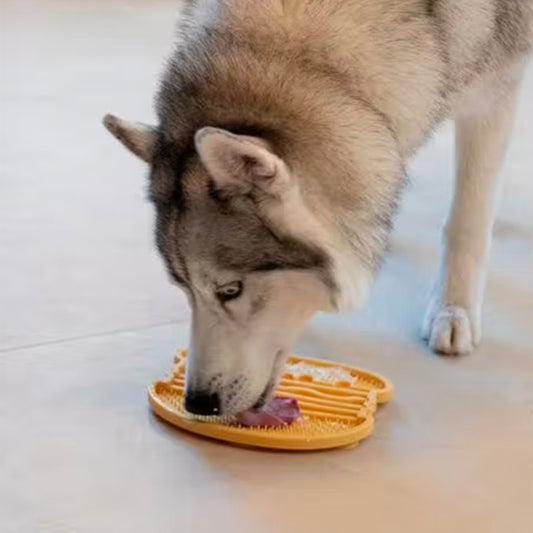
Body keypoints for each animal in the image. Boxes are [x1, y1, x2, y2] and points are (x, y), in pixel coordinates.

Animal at [103, 0, 528, 416]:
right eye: (183, 289)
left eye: (230, 290)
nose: (197, 402)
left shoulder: (494, 94)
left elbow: (466, 220)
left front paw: (453, 310)